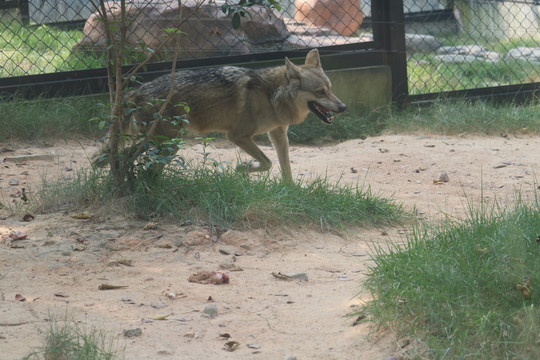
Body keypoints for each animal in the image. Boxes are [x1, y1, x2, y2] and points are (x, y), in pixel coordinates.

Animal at [95, 49, 348, 181]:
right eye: (320, 92)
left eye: (331, 89)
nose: (344, 107)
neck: (270, 95)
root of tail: (137, 91)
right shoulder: (238, 136)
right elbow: (266, 163)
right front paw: (242, 169)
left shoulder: (278, 134)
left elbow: (285, 168)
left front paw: (290, 192)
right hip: (165, 144)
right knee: (127, 157)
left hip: (164, 145)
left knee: (129, 158)